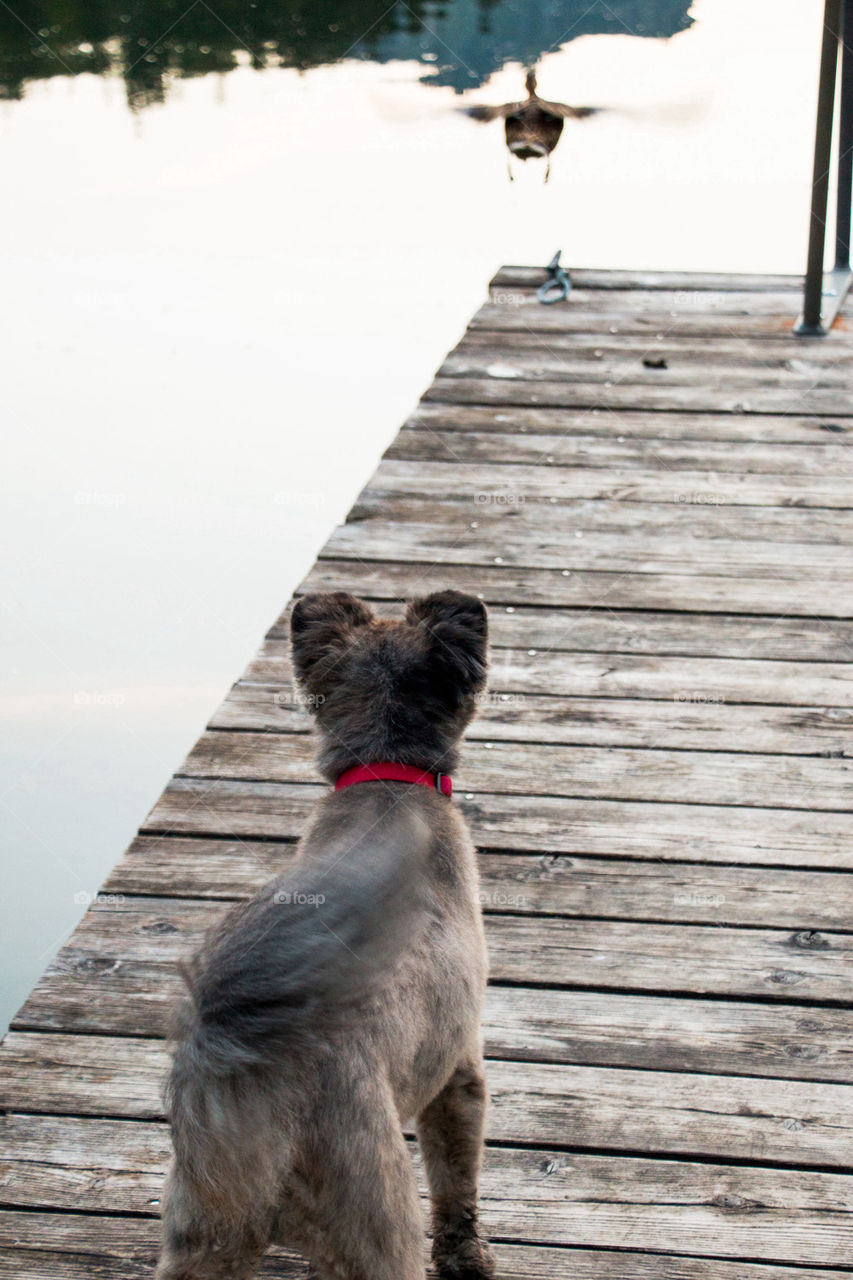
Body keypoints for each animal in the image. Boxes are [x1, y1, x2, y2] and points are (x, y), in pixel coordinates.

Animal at [154, 588, 491, 1280]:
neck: (388, 777)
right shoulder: (460, 1071)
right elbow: (458, 1186)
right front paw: (467, 1257)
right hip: (379, 1218)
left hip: (202, 1234)